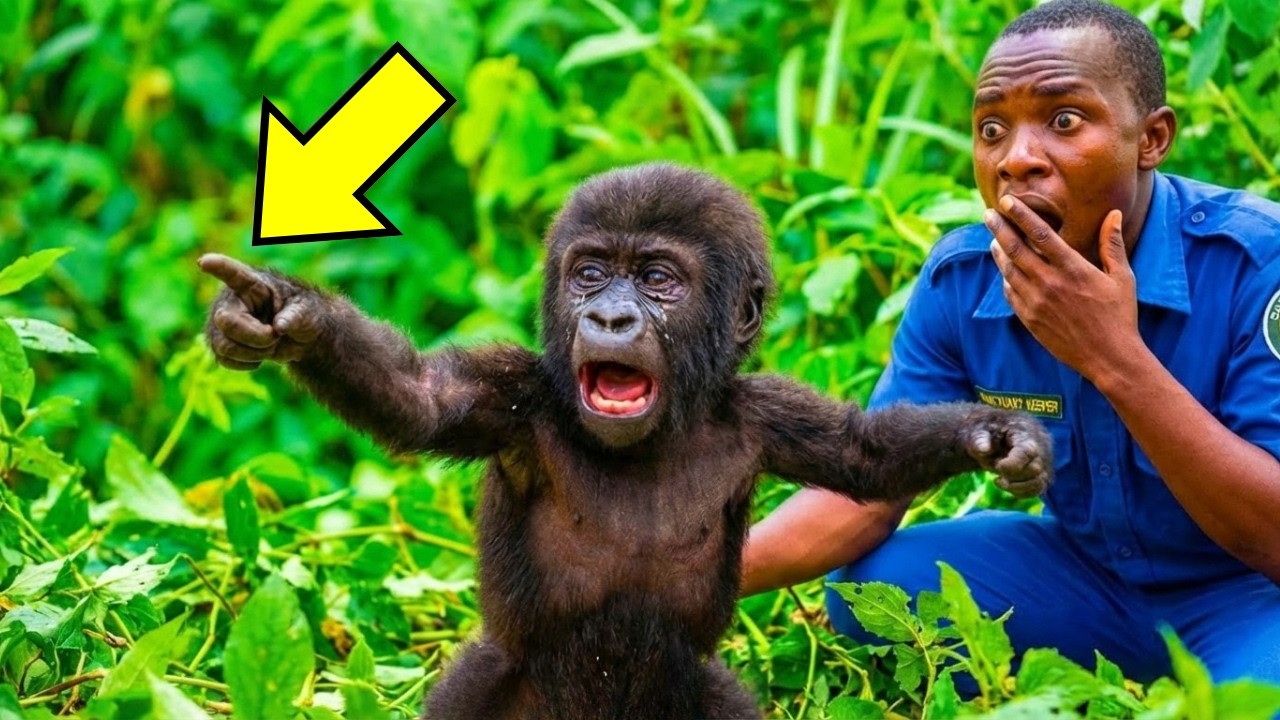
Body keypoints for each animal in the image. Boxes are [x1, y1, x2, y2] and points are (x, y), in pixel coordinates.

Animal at [198, 162, 1052, 719]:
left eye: (656, 280)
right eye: (590, 273)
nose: (609, 316)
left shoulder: (763, 411)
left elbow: (861, 455)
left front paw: (991, 434)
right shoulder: (513, 395)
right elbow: (417, 398)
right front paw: (283, 315)